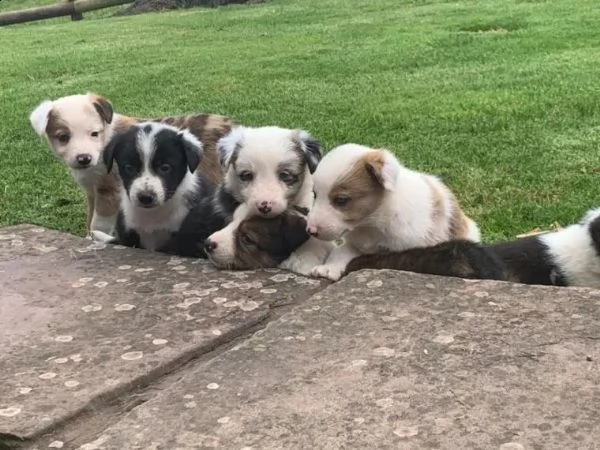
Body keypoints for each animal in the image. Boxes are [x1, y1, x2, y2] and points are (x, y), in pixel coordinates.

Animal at [28, 93, 234, 237]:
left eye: (94, 133)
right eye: (63, 137)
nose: (83, 158)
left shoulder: (109, 193)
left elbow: (97, 224)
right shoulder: (92, 192)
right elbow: (89, 219)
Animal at [308, 143, 480, 282]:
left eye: (341, 200)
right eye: (314, 194)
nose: (311, 231)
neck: (373, 223)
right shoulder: (358, 244)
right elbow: (341, 251)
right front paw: (329, 267)